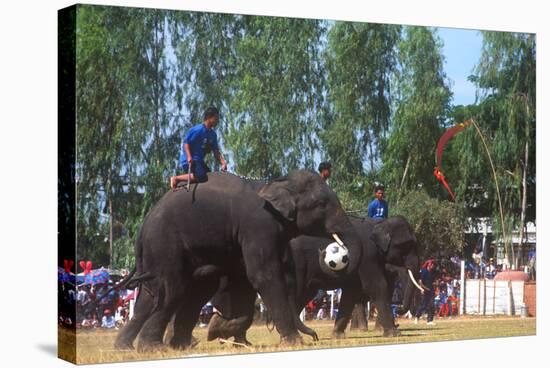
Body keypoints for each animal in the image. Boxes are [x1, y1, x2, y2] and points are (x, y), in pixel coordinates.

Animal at [114, 170, 364, 350]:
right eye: (322, 204)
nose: (316, 338)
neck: (276, 182)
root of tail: (142, 227)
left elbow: (245, 282)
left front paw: (223, 331)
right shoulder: (258, 226)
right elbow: (263, 276)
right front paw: (293, 342)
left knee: (161, 294)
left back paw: (133, 347)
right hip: (165, 245)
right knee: (172, 289)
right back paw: (154, 348)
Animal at [205, 214, 424, 344]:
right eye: (407, 245)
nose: (400, 311)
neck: (378, 224)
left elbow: (351, 292)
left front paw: (337, 336)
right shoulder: (368, 257)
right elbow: (375, 286)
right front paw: (395, 334)